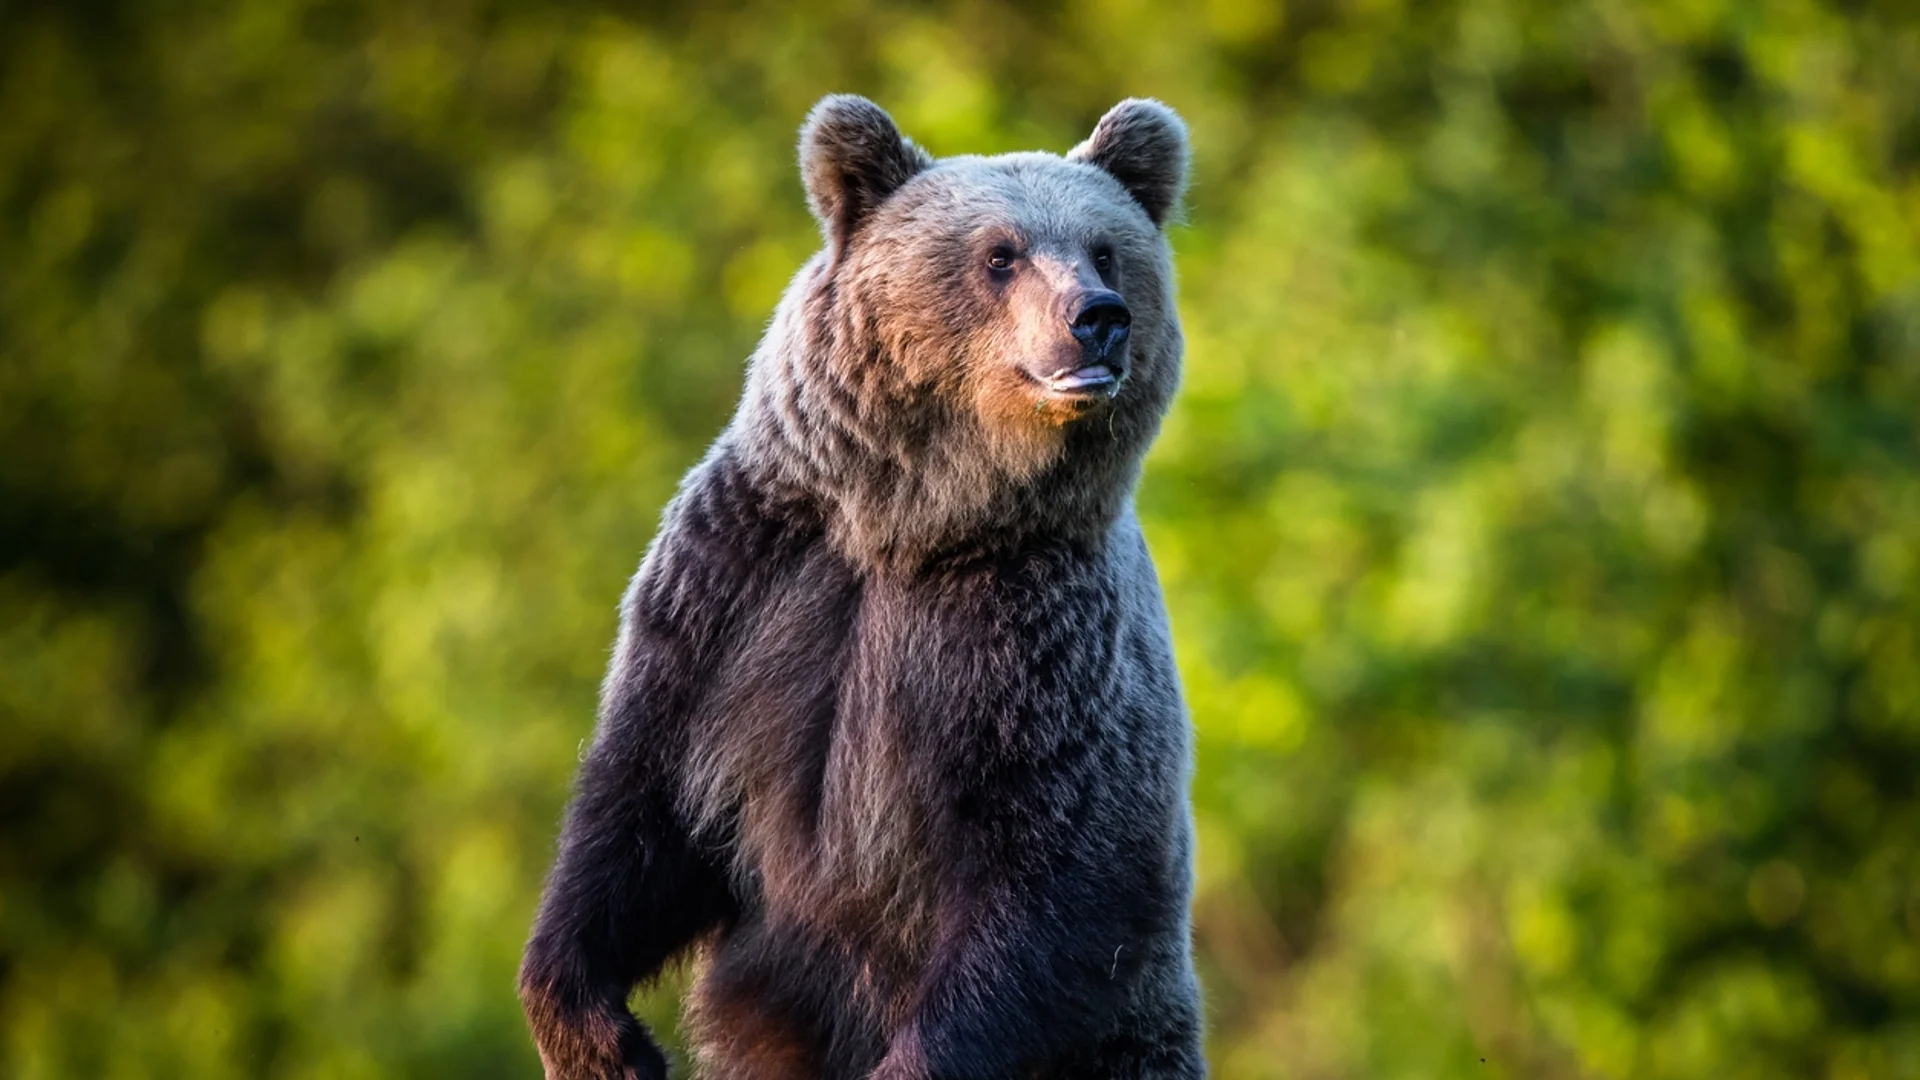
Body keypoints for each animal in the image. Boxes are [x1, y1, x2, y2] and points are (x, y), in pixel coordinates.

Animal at [510, 94, 1198, 1076]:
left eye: (1106, 249)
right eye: (1000, 254)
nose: (1098, 317)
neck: (914, 519)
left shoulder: (1039, 643)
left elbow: (1058, 872)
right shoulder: (738, 586)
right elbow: (641, 806)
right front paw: (599, 1034)